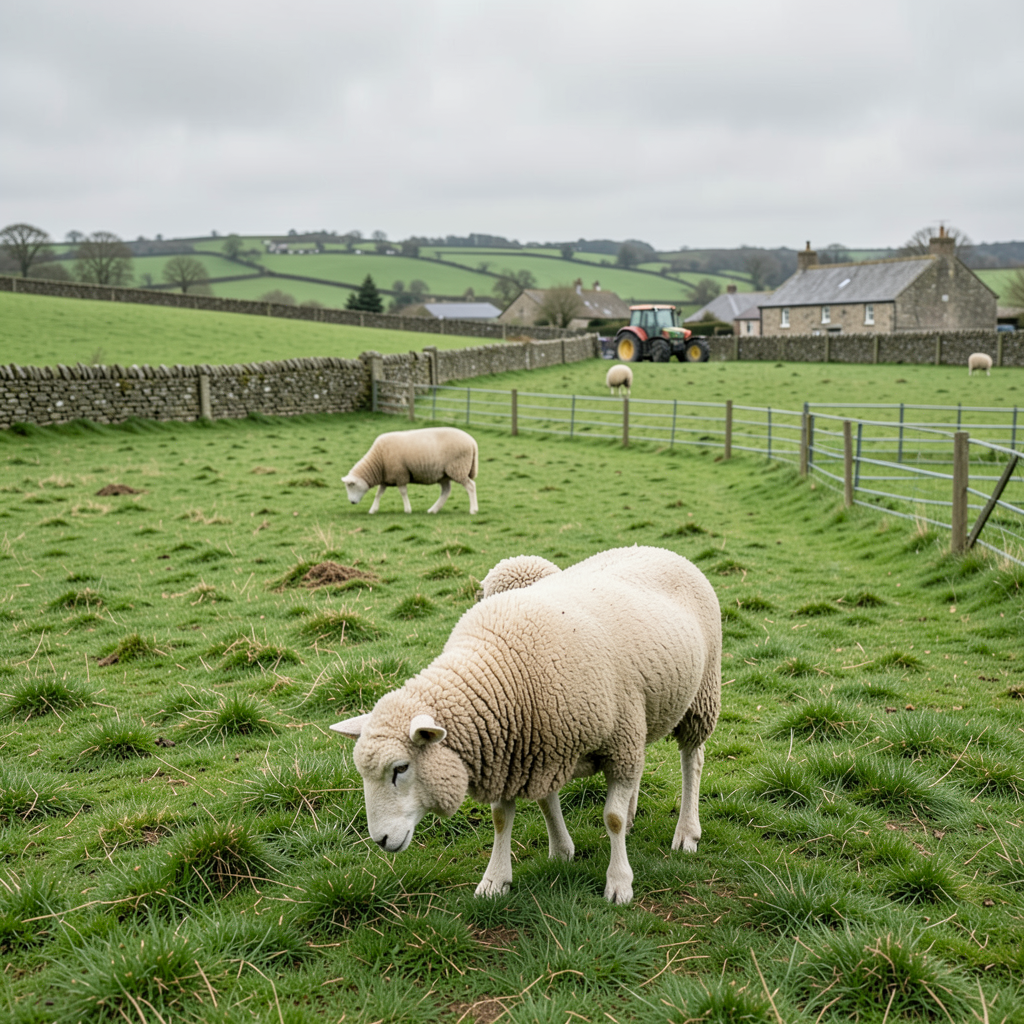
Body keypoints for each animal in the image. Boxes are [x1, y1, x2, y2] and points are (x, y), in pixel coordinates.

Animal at [331, 545, 721, 904]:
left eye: (401, 768)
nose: (380, 840)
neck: (502, 669)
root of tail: (656, 548)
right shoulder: (522, 747)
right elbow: (509, 816)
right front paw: (507, 874)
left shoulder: (613, 740)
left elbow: (612, 819)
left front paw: (619, 883)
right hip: (643, 713)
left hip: (700, 696)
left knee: (692, 760)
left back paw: (687, 833)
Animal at [342, 427, 478, 514]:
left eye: (351, 485)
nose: (352, 502)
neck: (378, 461)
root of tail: (472, 442)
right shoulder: (386, 477)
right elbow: (379, 493)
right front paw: (373, 510)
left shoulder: (400, 474)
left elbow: (403, 492)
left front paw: (407, 510)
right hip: (444, 474)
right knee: (446, 491)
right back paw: (433, 510)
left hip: (458, 467)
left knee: (471, 486)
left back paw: (473, 510)